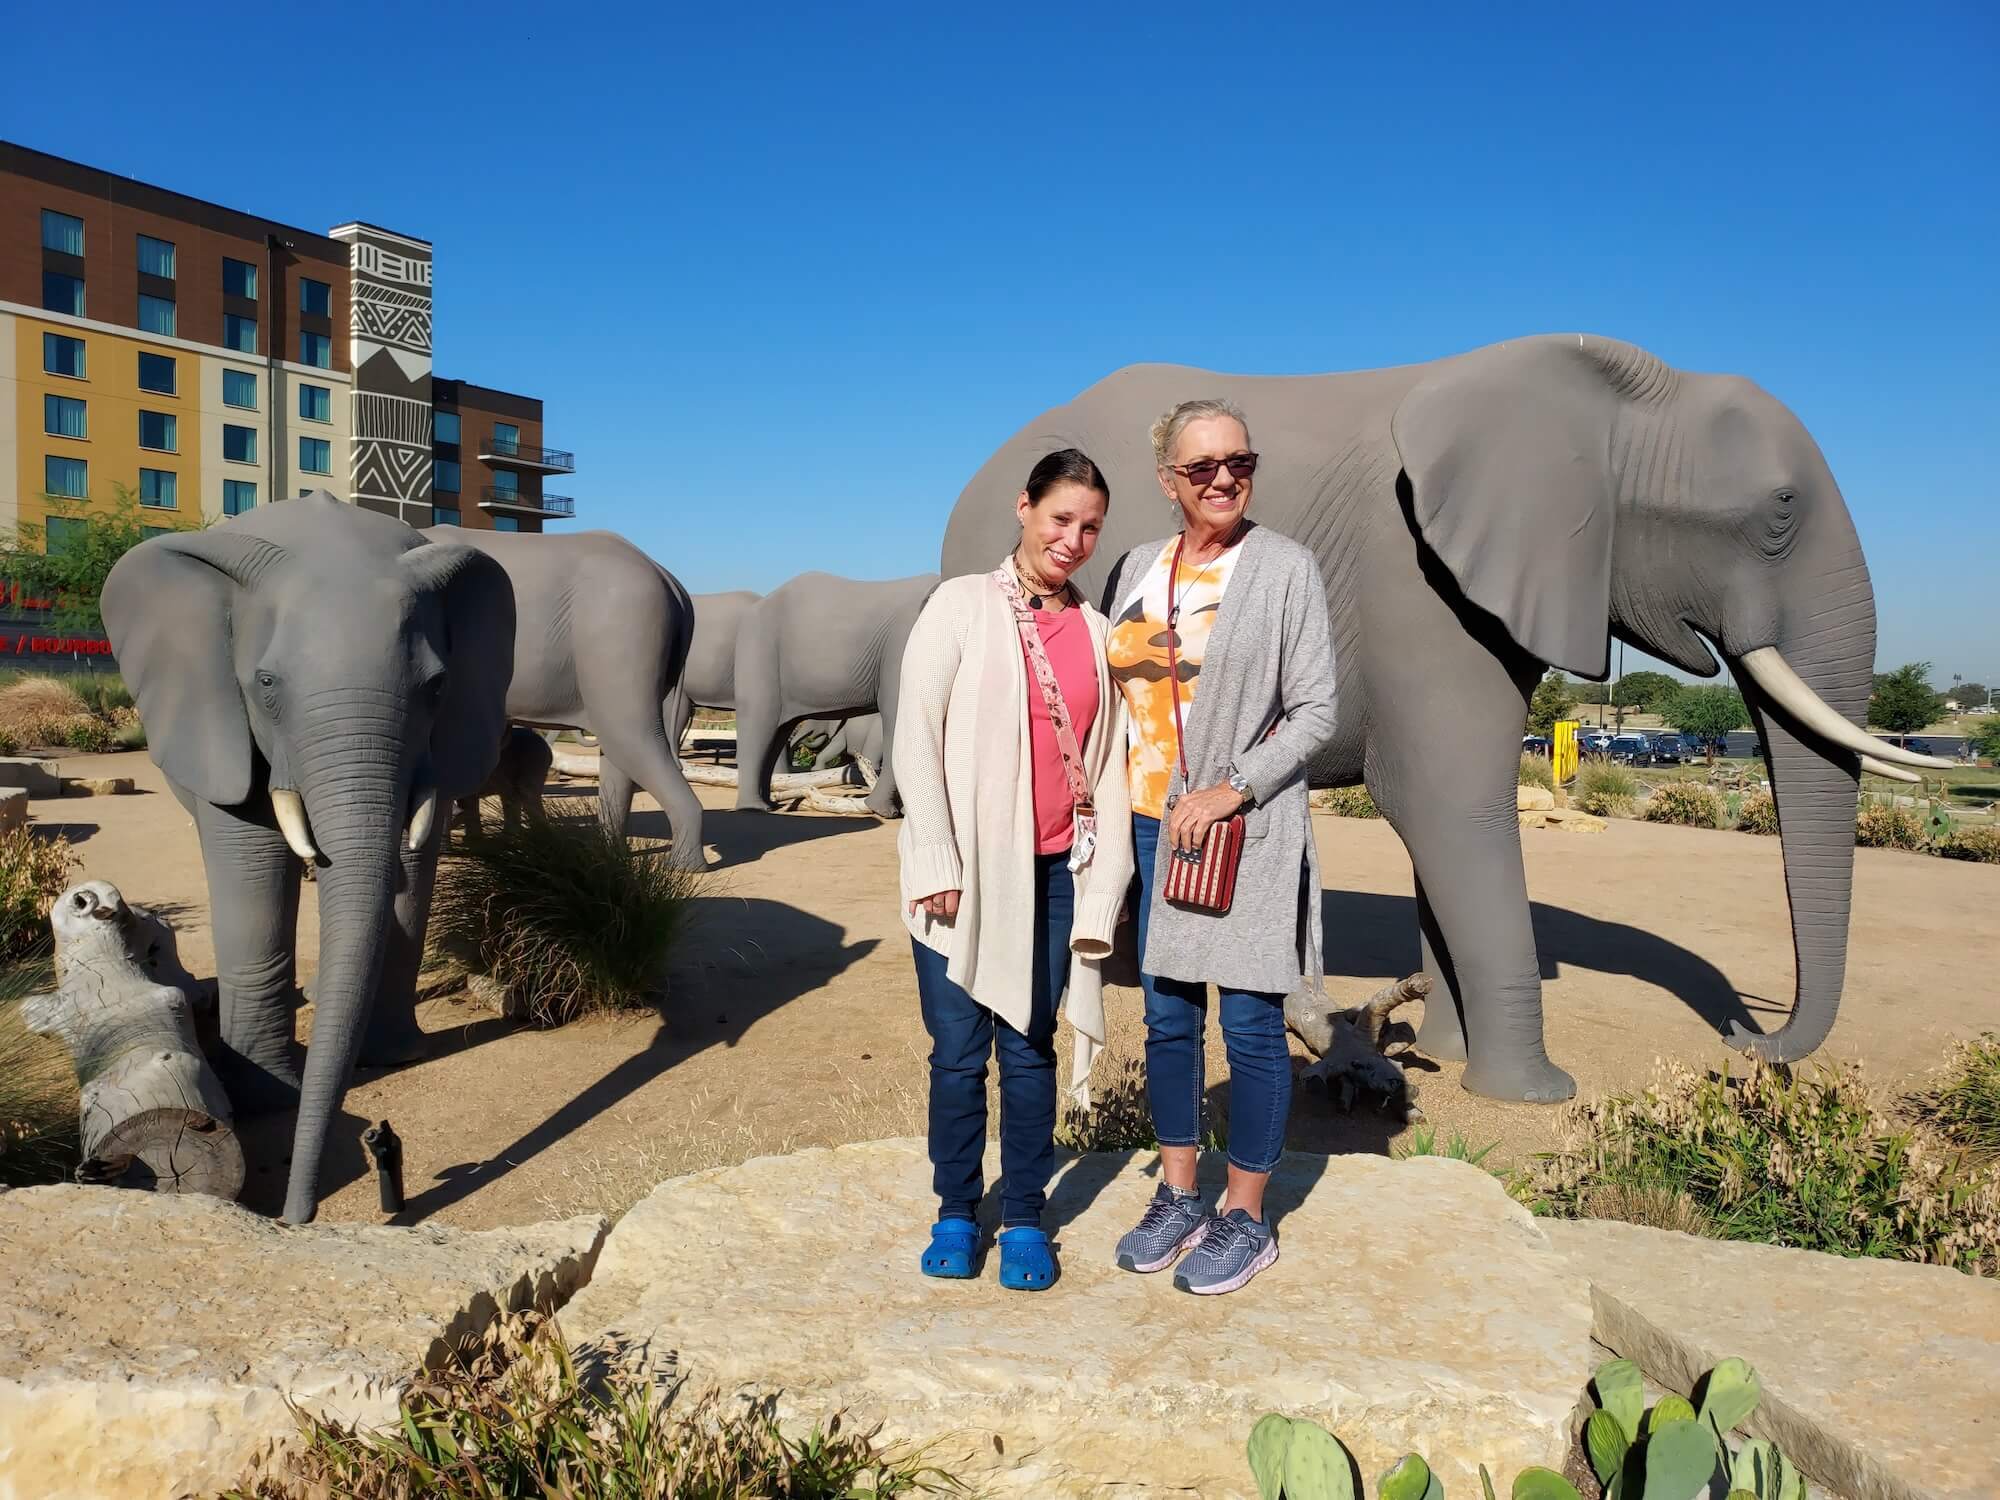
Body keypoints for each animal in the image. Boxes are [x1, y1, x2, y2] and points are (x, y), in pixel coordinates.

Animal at [104, 494, 515, 1222]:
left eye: (438, 687)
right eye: (265, 683)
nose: (297, 1215)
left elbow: (409, 862)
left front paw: (393, 1059)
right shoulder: (225, 722)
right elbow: (252, 863)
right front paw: (266, 1098)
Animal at [421, 527, 706, 869]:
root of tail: (671, 582)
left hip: (622, 633)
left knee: (631, 740)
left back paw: (683, 868)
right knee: (619, 753)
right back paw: (610, 858)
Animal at [732, 572, 939, 817]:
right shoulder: (902, 650)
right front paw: (885, 812)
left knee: (778, 733)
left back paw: (769, 805)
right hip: (758, 649)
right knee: (759, 724)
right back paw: (754, 809)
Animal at [939, 335, 1947, 1103]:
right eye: (1779, 513)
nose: (1747, 1042)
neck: (1614, 401)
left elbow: (1442, 826)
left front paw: (1446, 1056)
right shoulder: (1415, 582)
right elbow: (1451, 805)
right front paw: (1536, 1094)